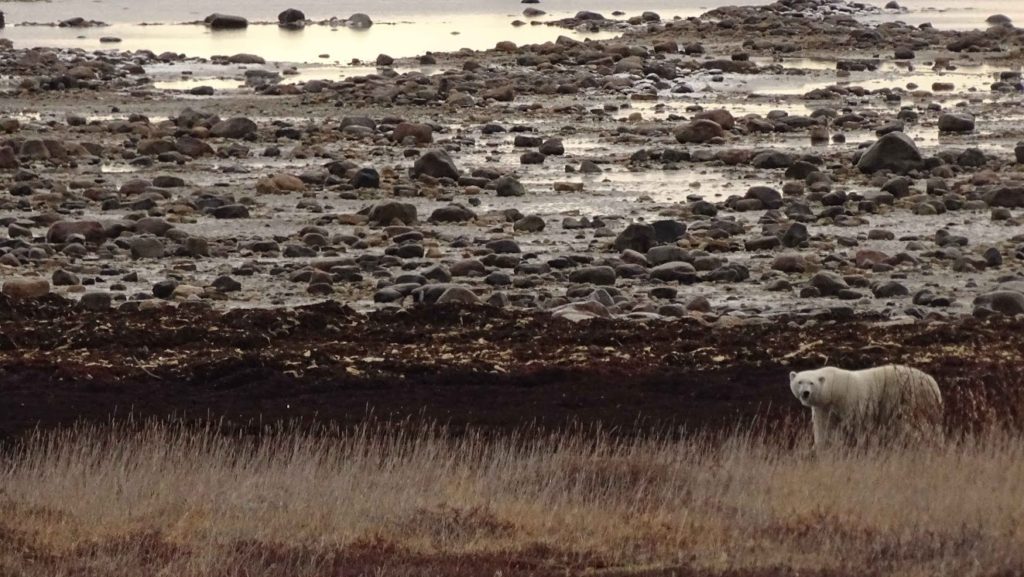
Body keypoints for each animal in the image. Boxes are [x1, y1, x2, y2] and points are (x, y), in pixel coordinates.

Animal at [789, 365, 943, 449]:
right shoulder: (823, 407)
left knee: (917, 425)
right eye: (800, 382)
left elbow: (853, 424)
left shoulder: (849, 400)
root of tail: (932, 382)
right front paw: (819, 446)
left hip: (911, 397)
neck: (833, 388)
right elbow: (823, 427)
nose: (805, 393)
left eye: (811, 383)